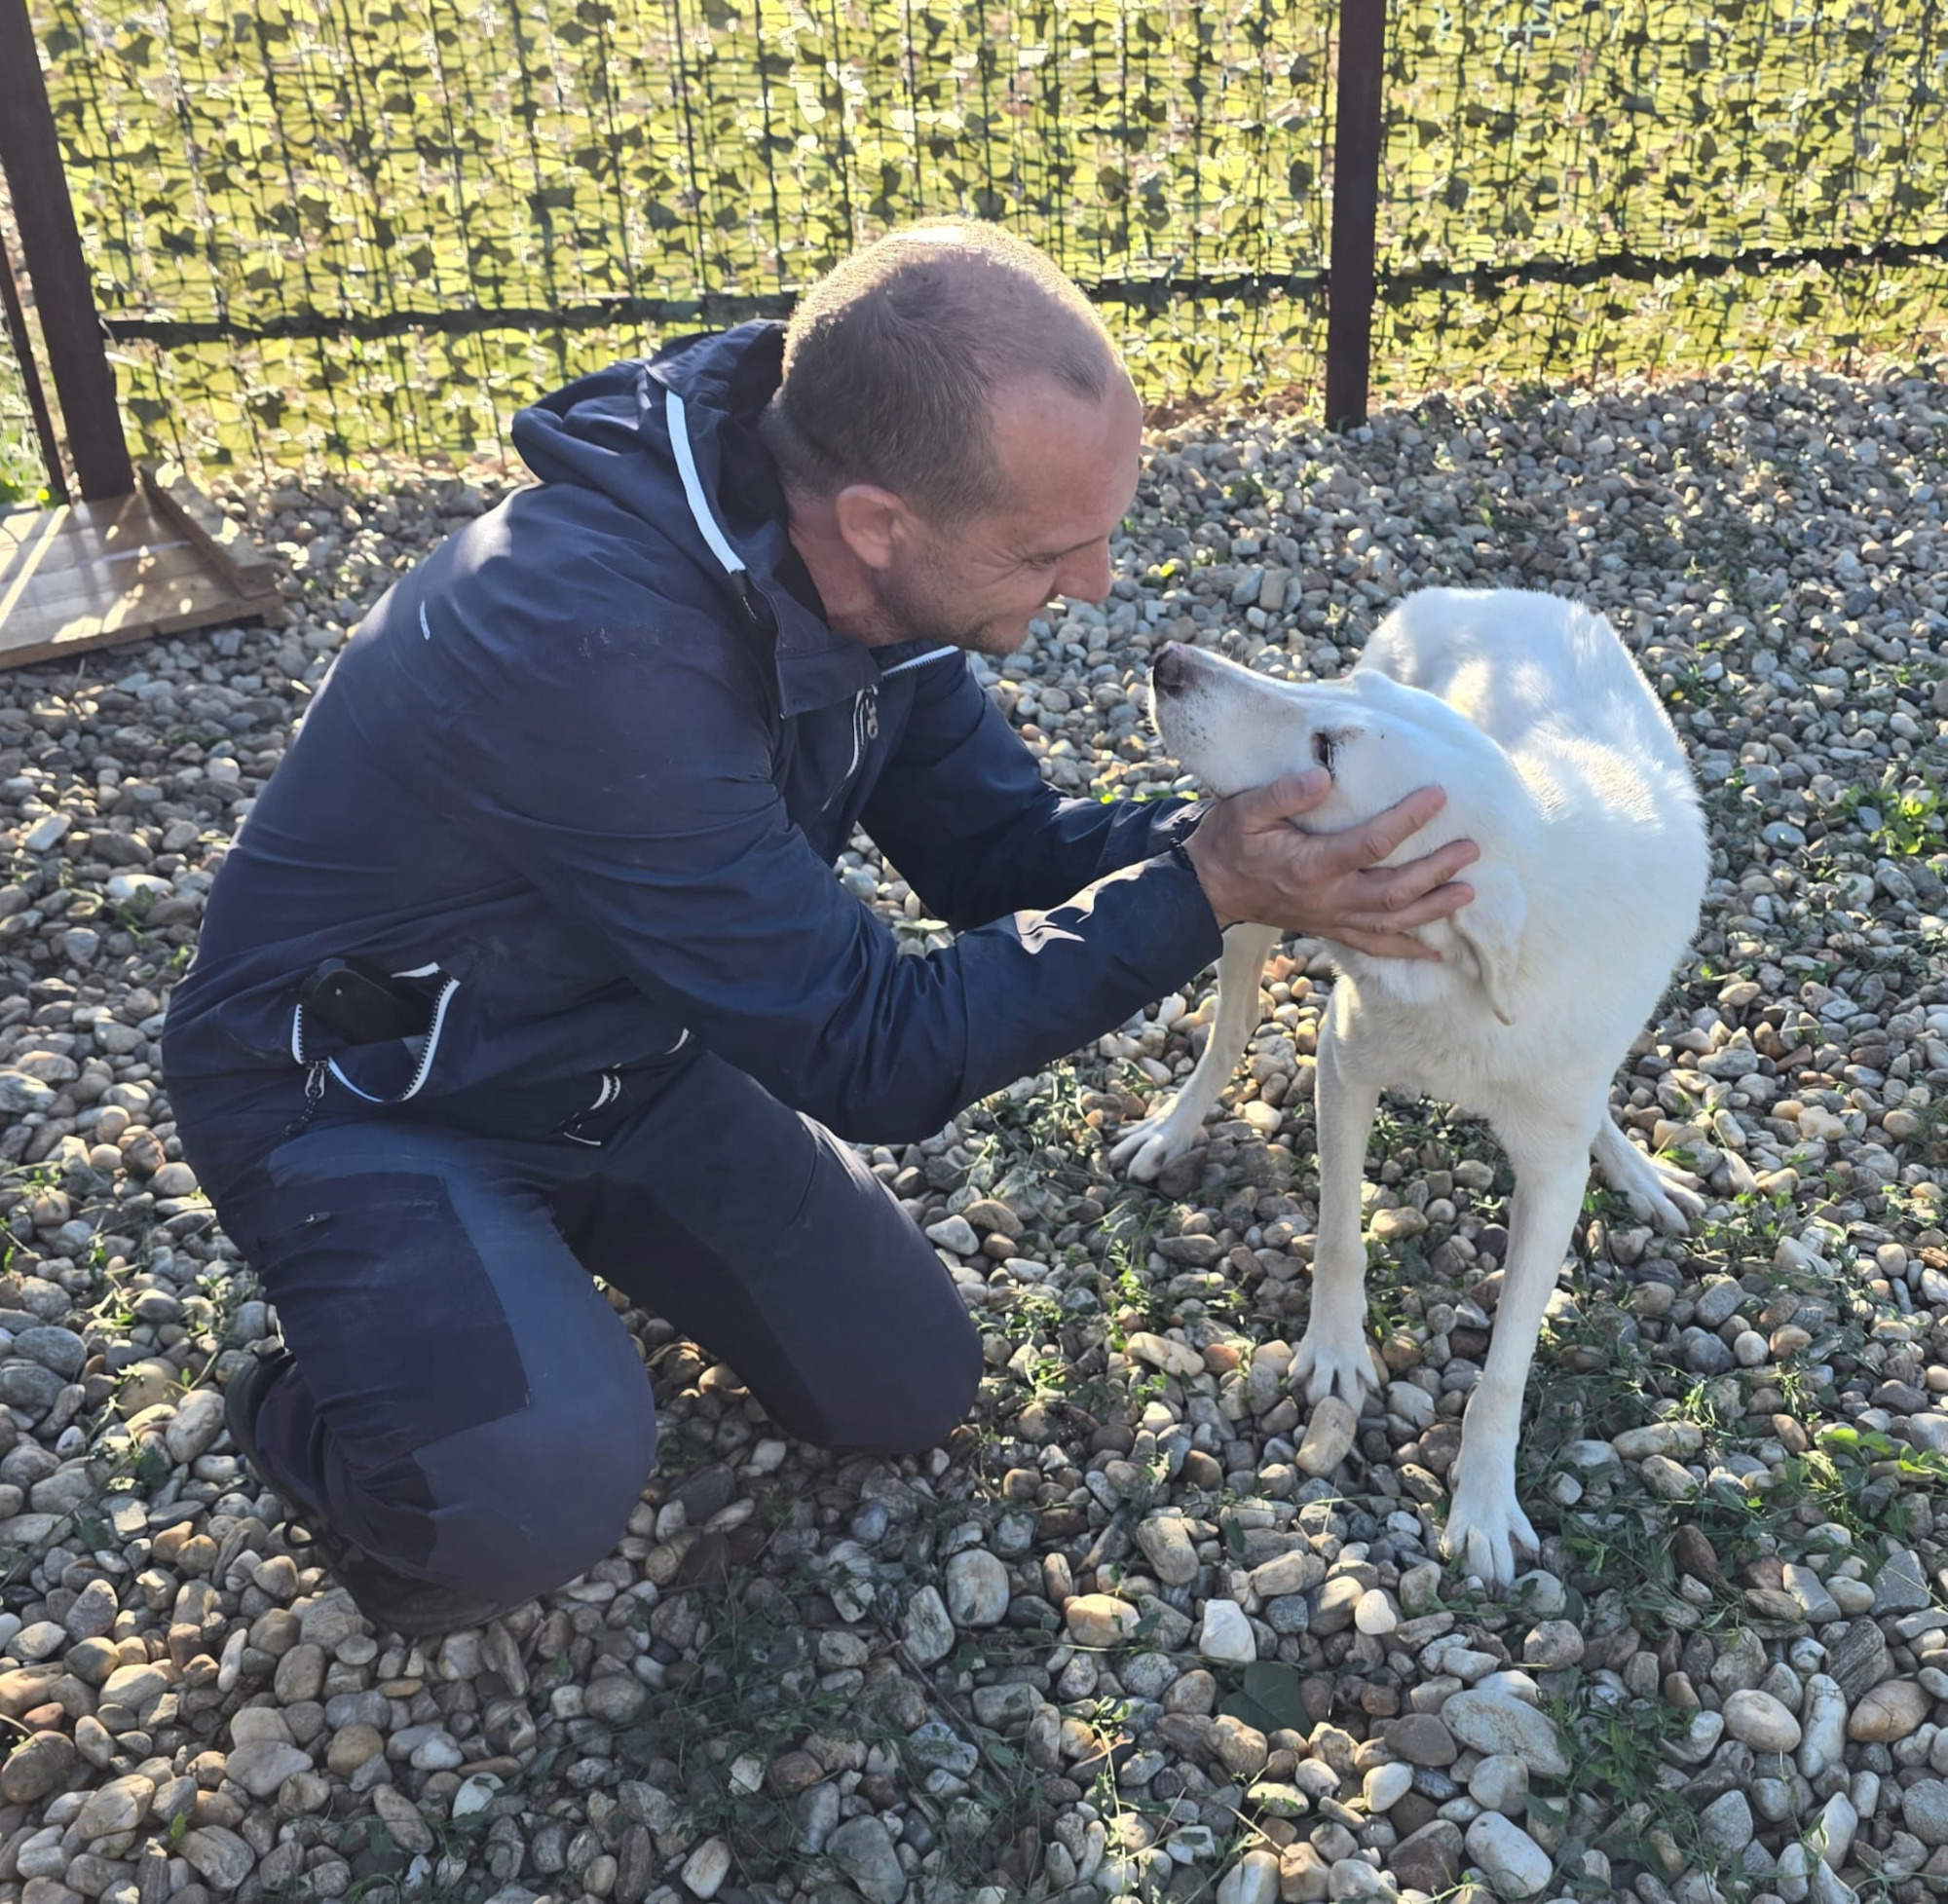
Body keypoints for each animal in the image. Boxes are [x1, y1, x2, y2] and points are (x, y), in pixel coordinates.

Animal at [1112, 587, 1710, 1585]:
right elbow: (1338, 1236)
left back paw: (1634, 1167)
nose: (1169, 661)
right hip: (1243, 896)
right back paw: (1176, 1125)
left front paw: (1483, 1502)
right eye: (1335, 697)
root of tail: (1470, 593)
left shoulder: (1550, 1176)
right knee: (1232, 1020)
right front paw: (1333, 1352)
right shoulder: (1343, 1064)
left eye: (1328, 752)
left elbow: (1506, 1365)